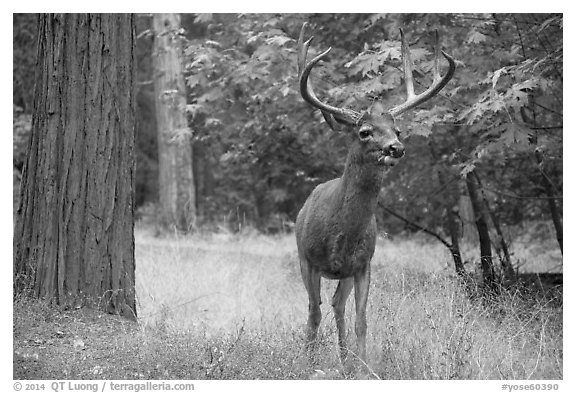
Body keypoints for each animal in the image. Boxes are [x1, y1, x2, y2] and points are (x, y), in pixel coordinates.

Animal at [294, 23, 456, 368]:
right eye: (364, 131)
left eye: (398, 131)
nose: (396, 148)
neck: (340, 231)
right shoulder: (309, 260)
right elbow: (313, 314)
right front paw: (307, 364)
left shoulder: (363, 264)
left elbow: (361, 319)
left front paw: (362, 366)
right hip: (304, 257)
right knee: (319, 307)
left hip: (344, 272)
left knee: (338, 305)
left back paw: (344, 360)